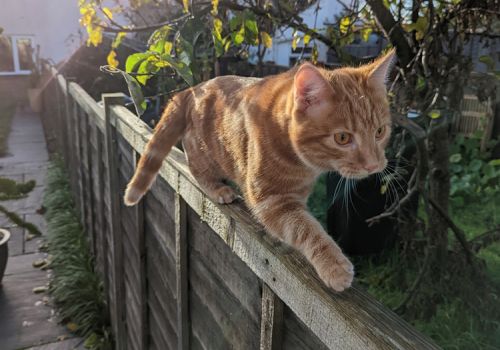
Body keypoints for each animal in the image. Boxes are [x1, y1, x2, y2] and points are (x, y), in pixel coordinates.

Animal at [124, 48, 394, 290]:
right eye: (342, 138)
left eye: (380, 131)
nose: (374, 165)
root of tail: (193, 88)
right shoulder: (271, 201)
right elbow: (306, 229)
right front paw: (334, 265)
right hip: (203, 152)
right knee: (197, 168)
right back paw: (218, 189)